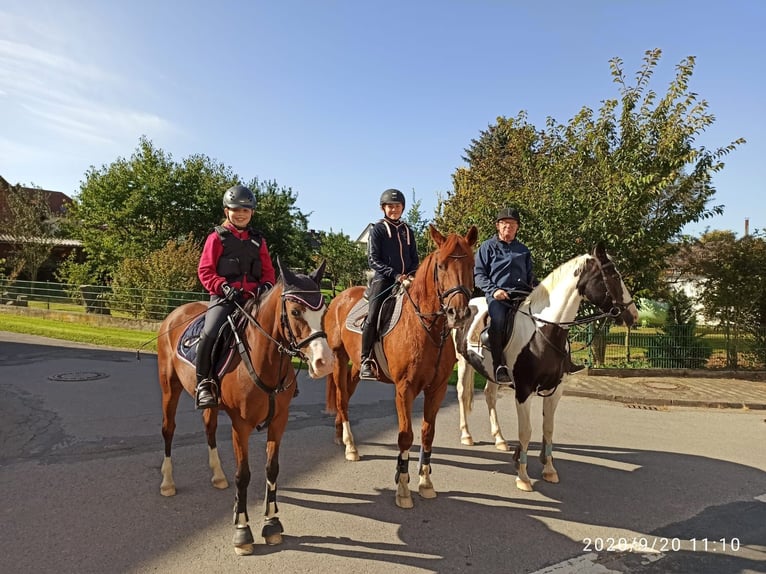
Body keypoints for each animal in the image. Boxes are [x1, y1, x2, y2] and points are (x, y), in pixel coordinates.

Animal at [158, 262, 334, 560]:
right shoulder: (241, 426)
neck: (265, 360)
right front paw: (242, 530)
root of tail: (175, 314)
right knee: (168, 430)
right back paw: (168, 482)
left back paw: (218, 476)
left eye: (324, 310)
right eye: (295, 311)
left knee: (209, 429)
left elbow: (272, 469)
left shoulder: (279, 422)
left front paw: (272, 523)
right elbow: (244, 475)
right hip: (169, 388)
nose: (325, 362)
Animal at [326, 225, 480, 508]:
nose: (458, 314)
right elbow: (406, 435)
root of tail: (340, 297)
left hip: (356, 365)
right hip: (339, 359)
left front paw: (426, 483)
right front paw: (403, 487)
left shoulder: (437, 389)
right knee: (342, 399)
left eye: (472, 264)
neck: (426, 327)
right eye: (440, 265)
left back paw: (340, 434)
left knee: (347, 395)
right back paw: (350, 446)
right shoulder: (404, 389)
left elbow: (428, 433)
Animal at [452, 245, 640, 492]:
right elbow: (526, 432)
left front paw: (549, 469)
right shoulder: (524, 391)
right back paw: (466, 436)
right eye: (613, 276)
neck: (543, 331)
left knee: (489, 396)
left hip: (491, 373)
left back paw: (500, 439)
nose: (633, 315)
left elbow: (548, 428)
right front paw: (522, 476)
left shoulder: (555, 389)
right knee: (463, 395)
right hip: (463, 362)